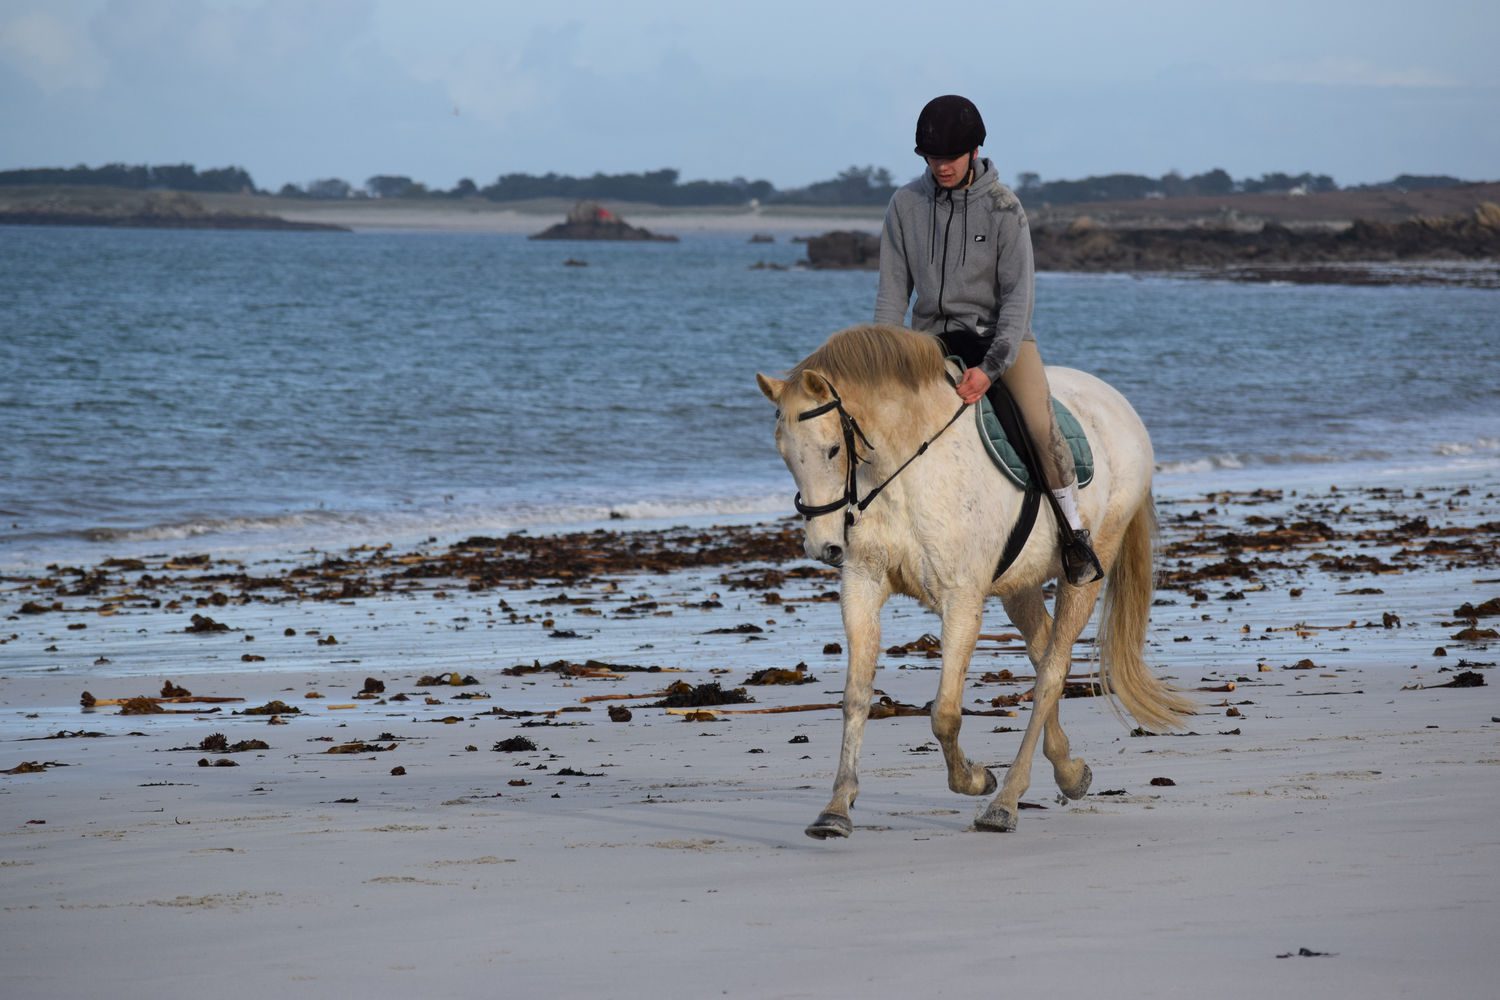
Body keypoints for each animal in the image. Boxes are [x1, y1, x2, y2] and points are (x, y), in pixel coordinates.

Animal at [762, 326, 1194, 839]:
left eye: (832, 450)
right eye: (783, 454)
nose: (823, 547)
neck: (902, 469)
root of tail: (1117, 403)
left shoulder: (962, 600)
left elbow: (945, 714)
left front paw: (975, 779)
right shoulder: (862, 586)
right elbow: (855, 699)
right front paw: (836, 809)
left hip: (1086, 570)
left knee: (1052, 671)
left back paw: (1004, 803)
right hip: (1019, 584)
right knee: (1043, 653)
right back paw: (1069, 771)